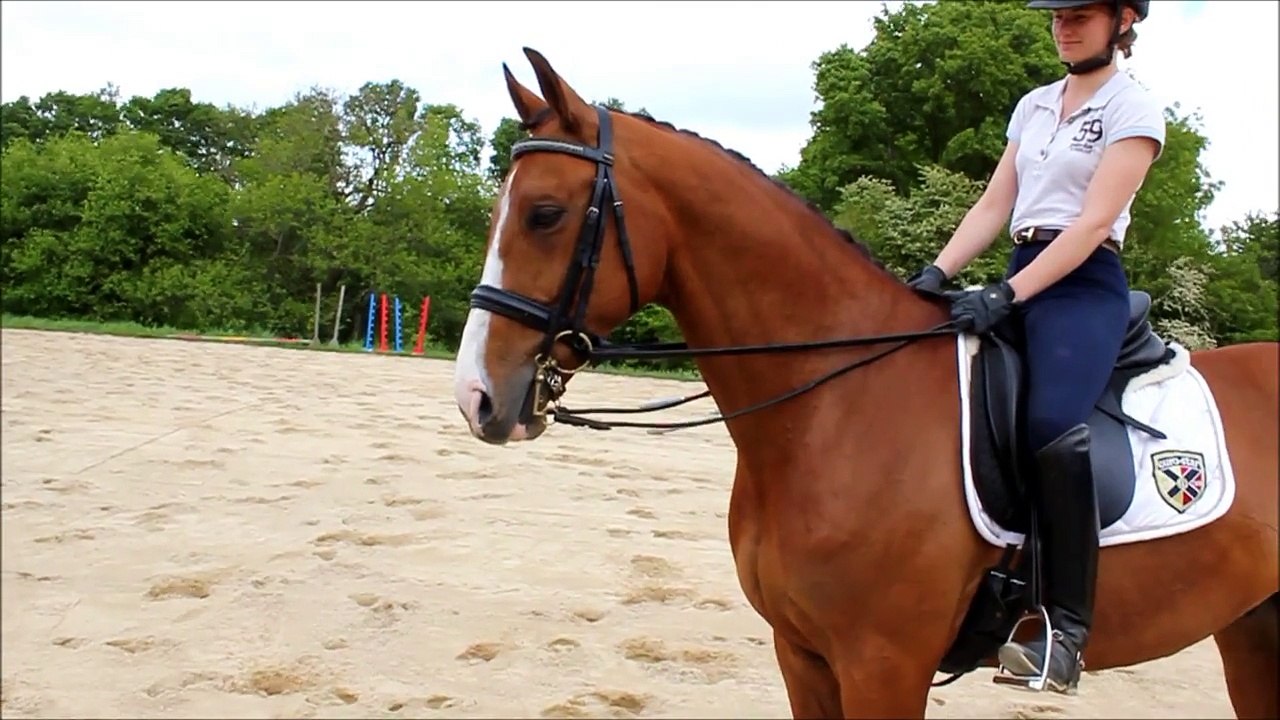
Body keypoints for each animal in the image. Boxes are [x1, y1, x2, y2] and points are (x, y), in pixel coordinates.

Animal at [450, 48, 1279, 719]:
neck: (834, 410)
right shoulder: (802, 654)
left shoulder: (884, 664)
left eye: (546, 214)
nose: (477, 396)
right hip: (1251, 631)